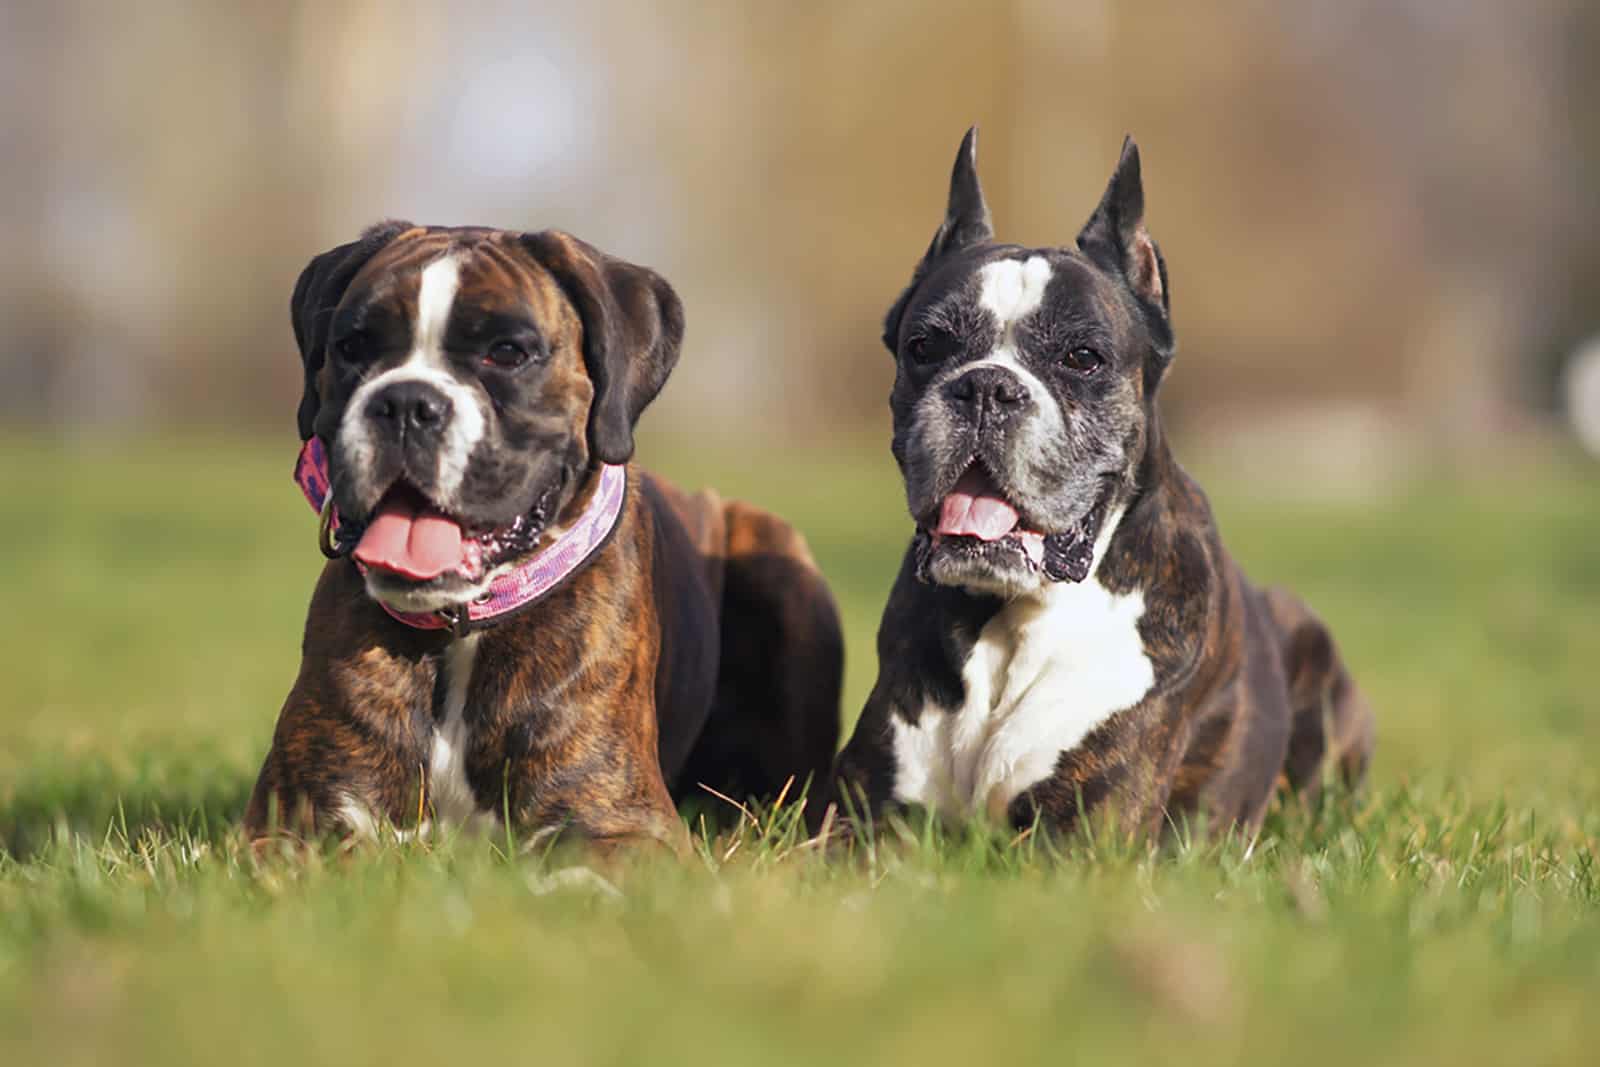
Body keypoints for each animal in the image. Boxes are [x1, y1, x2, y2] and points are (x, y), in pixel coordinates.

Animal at [243, 223, 844, 851]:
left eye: (507, 352)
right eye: (352, 347)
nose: (405, 402)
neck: (461, 630)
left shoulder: (627, 824)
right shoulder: (289, 828)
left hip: (775, 557)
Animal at [825, 131, 1376, 831]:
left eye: (1082, 358)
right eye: (925, 347)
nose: (986, 388)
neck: (1008, 619)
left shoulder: (1079, 833)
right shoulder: (858, 822)